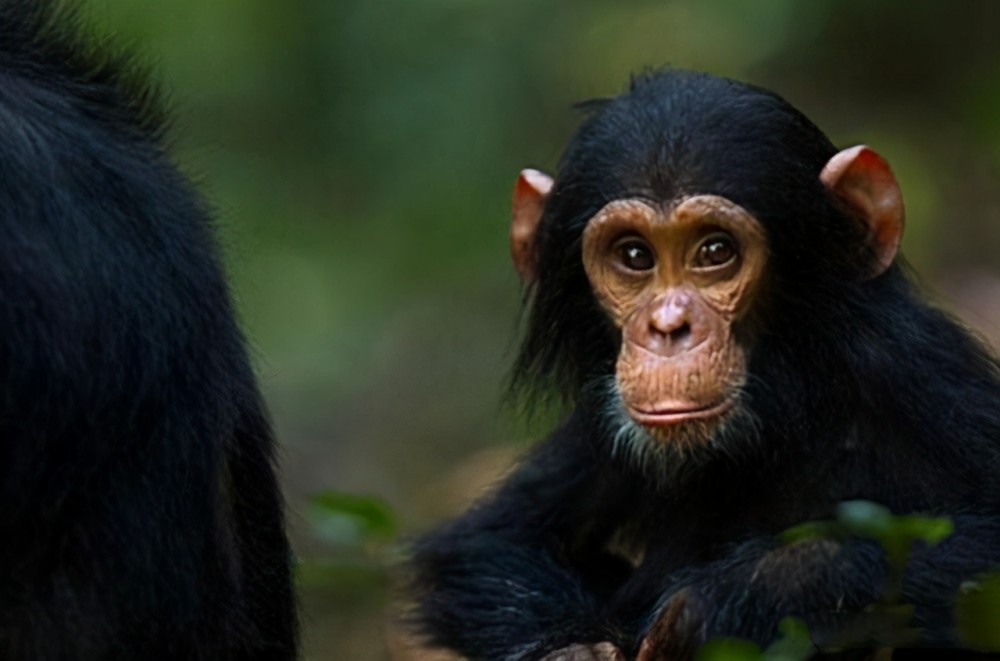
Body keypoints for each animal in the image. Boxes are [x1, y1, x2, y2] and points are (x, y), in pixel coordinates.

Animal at [408, 67, 1000, 660]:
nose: (668, 326)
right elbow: (490, 541)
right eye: (634, 256)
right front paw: (571, 648)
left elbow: (979, 553)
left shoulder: (913, 372)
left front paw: (711, 606)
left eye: (716, 252)